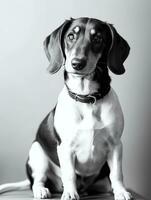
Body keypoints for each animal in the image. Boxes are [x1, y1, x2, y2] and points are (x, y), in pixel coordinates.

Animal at [0, 17, 132, 200]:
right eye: (71, 36)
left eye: (98, 38)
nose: (77, 63)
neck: (87, 100)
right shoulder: (66, 148)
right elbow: (69, 174)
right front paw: (70, 193)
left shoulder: (115, 145)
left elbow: (117, 174)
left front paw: (121, 191)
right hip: (37, 153)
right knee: (37, 181)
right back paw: (42, 190)